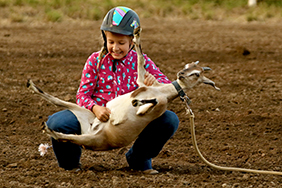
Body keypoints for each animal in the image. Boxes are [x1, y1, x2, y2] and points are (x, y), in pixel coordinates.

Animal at [27, 26, 220, 151]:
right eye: (187, 65)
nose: (180, 74)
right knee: (57, 101)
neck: (162, 91)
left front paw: (137, 102)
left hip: (91, 139)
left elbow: (148, 103)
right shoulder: (142, 82)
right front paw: (137, 33)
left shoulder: (157, 106)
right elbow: (140, 59)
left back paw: (48, 128)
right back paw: (33, 86)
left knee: (66, 136)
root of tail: (92, 128)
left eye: (196, 74)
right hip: (84, 118)